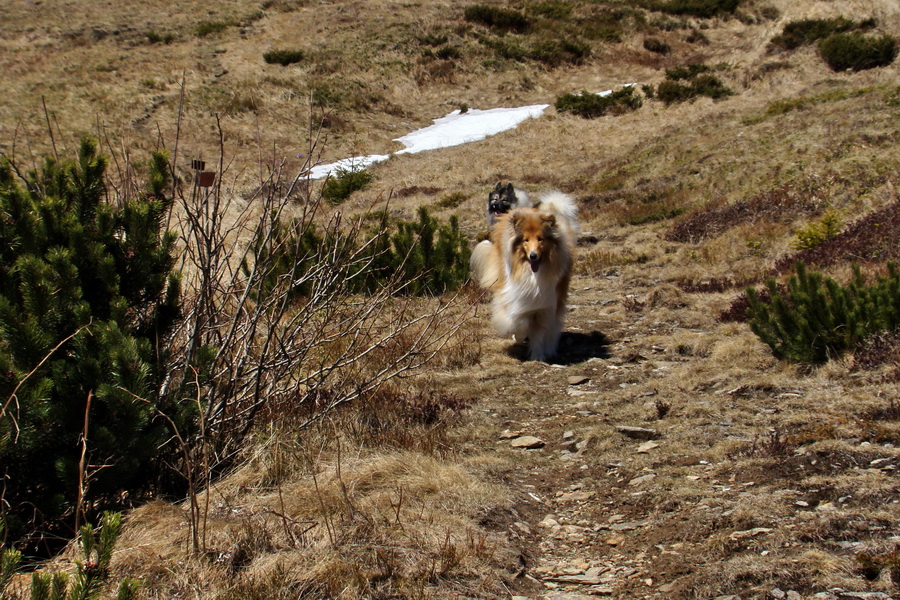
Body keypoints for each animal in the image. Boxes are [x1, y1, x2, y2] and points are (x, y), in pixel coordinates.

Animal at [472, 192, 576, 360]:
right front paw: (519, 335)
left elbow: (539, 333)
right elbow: (518, 322)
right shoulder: (515, 297)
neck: (532, 275)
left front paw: (538, 356)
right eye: (526, 240)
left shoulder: (546, 306)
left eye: (540, 239)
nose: (533, 256)